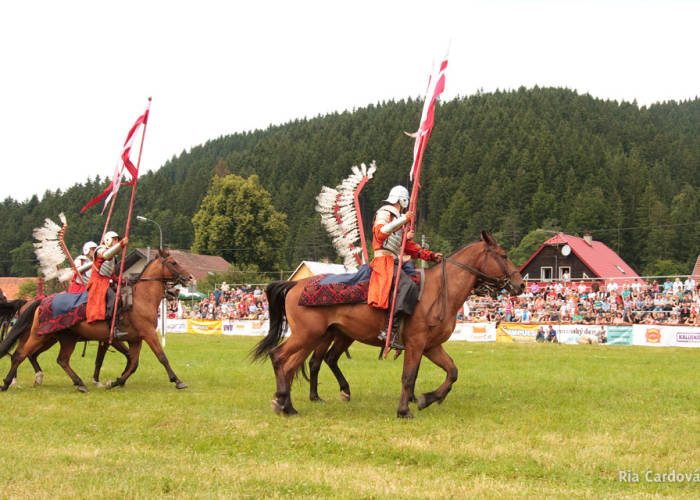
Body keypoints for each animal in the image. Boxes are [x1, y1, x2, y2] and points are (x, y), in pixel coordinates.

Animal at [0, 248, 194, 392]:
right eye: (173, 263)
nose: (190, 278)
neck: (142, 297)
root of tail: (42, 300)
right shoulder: (146, 334)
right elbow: (161, 357)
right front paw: (177, 380)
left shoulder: (135, 339)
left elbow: (133, 363)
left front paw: (115, 382)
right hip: (39, 336)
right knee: (20, 354)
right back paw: (8, 383)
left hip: (61, 338)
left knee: (59, 359)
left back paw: (77, 383)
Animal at [254, 231, 524, 418]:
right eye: (503, 256)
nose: (520, 284)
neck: (439, 291)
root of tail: (295, 285)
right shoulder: (416, 344)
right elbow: (409, 376)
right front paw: (405, 410)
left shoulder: (431, 346)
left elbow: (452, 372)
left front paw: (428, 398)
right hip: (308, 336)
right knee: (281, 358)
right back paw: (284, 401)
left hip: (320, 336)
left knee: (298, 365)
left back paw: (289, 406)